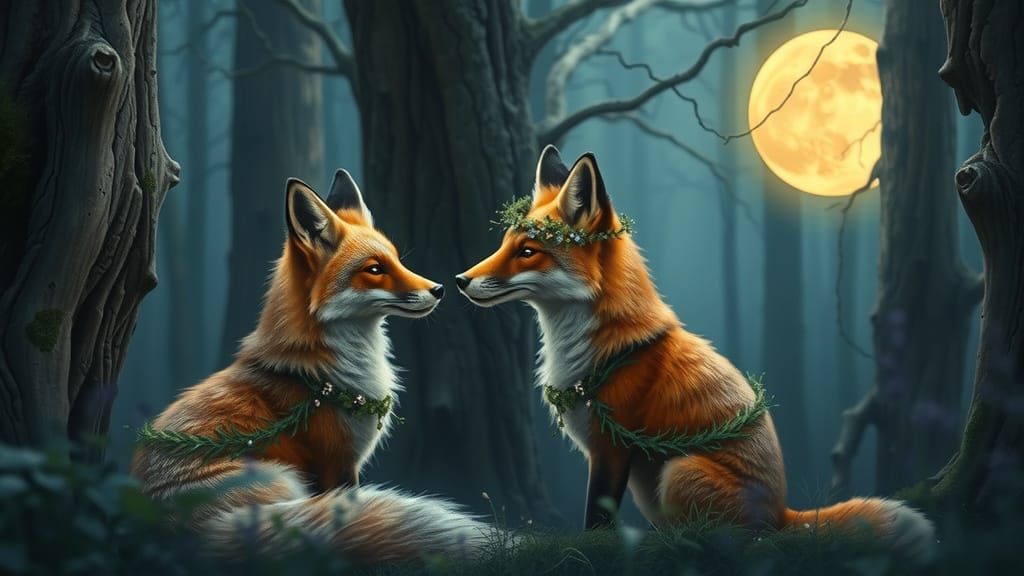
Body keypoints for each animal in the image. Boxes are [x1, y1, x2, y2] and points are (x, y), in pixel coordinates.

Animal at [132, 170, 489, 563]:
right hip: (282, 480)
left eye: (397, 260)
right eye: (374, 269)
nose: (440, 288)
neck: (316, 375)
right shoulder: (338, 463)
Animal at [456, 145, 935, 563]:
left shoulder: (610, 447)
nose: (460, 280)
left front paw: (590, 554)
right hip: (652, 486)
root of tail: (782, 511)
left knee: (739, 545)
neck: (603, 350)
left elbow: (597, 521)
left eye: (528, 252)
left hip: (678, 472)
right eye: (504, 244)